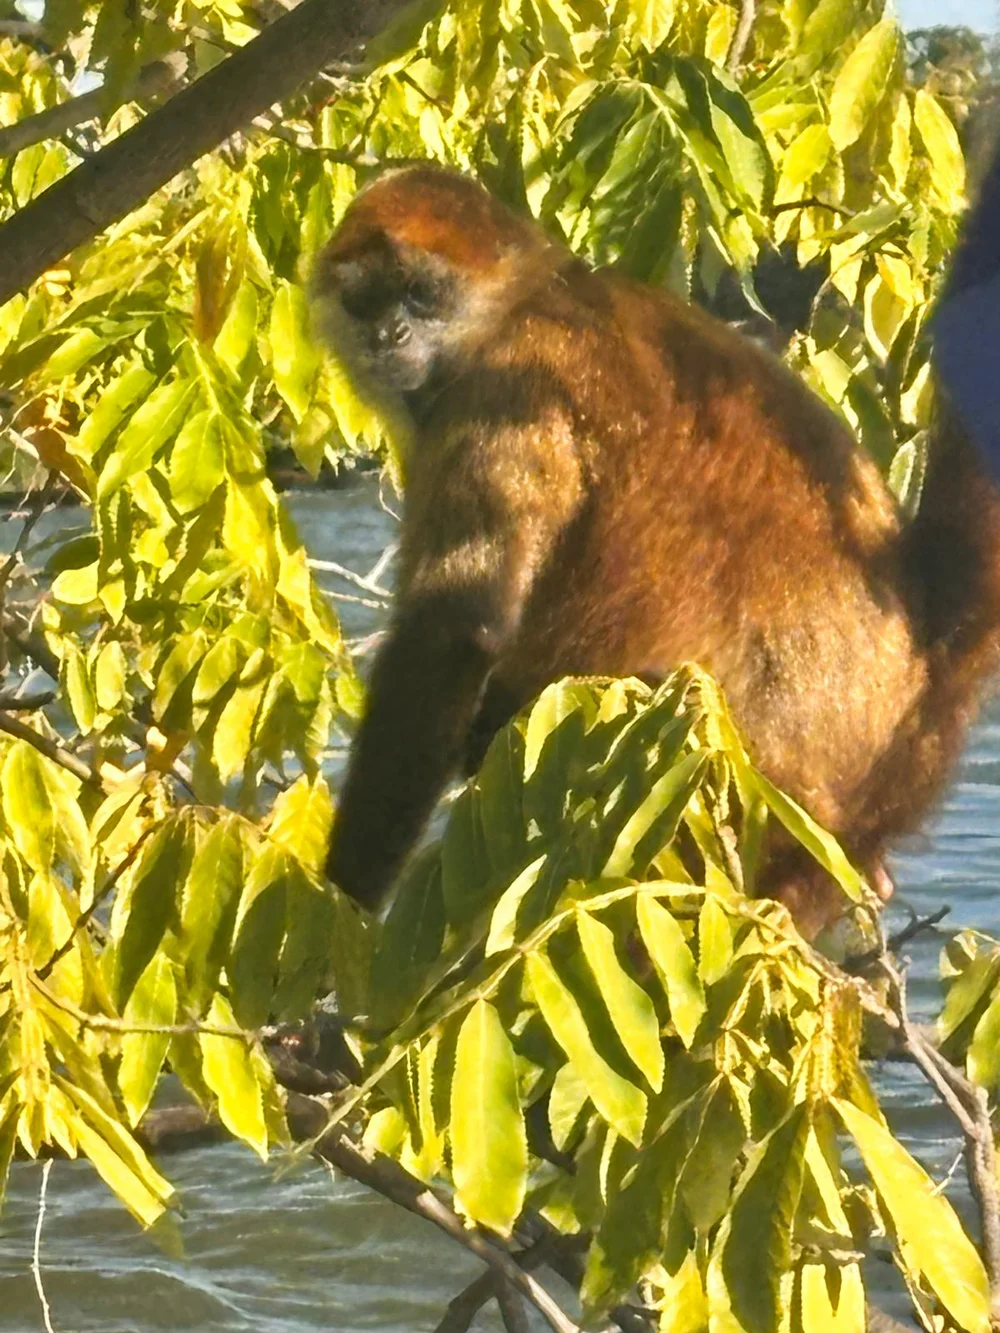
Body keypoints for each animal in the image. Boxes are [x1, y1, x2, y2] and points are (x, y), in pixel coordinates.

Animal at [313, 163, 1000, 938]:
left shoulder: (505, 378)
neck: (538, 295)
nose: (388, 333)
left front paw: (338, 912)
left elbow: (454, 630)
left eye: (421, 293)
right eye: (366, 299)